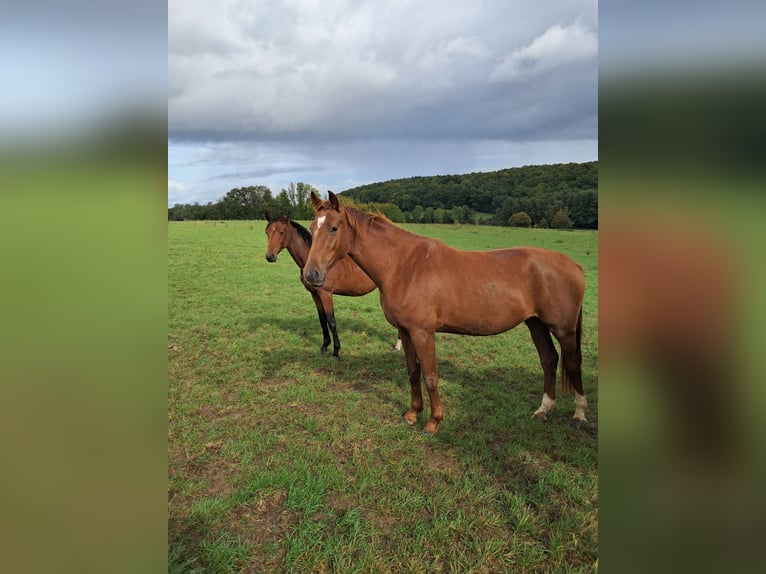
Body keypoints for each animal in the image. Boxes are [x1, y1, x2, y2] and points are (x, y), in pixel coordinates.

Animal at [264, 213, 402, 358]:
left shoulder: (326, 294)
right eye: (267, 232)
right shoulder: (315, 294)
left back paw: (397, 346)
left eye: (281, 232)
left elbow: (331, 321)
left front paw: (335, 351)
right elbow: (322, 319)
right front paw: (324, 346)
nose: (270, 256)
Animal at [303, 191, 587, 435]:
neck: (403, 265)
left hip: (563, 329)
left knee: (573, 362)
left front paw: (433, 422)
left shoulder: (423, 333)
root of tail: (573, 265)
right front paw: (411, 415)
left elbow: (430, 377)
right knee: (549, 360)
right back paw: (543, 410)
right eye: (313, 228)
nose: (311, 274)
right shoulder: (406, 332)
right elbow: (413, 372)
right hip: (536, 323)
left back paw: (579, 415)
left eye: (334, 228)